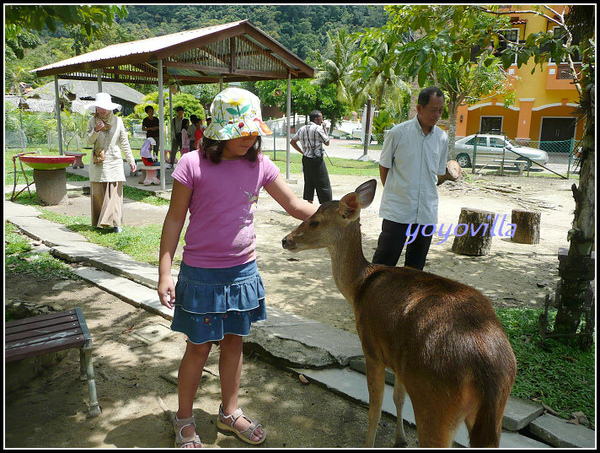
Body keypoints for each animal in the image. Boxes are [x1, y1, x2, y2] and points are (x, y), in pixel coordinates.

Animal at [282, 178, 516, 446]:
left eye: (315, 221)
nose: (285, 240)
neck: (358, 287)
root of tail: (489, 373)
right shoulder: (400, 364)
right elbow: (398, 398)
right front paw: (400, 438)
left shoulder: (371, 347)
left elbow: (375, 407)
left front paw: (370, 443)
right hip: (492, 416)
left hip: (435, 403)